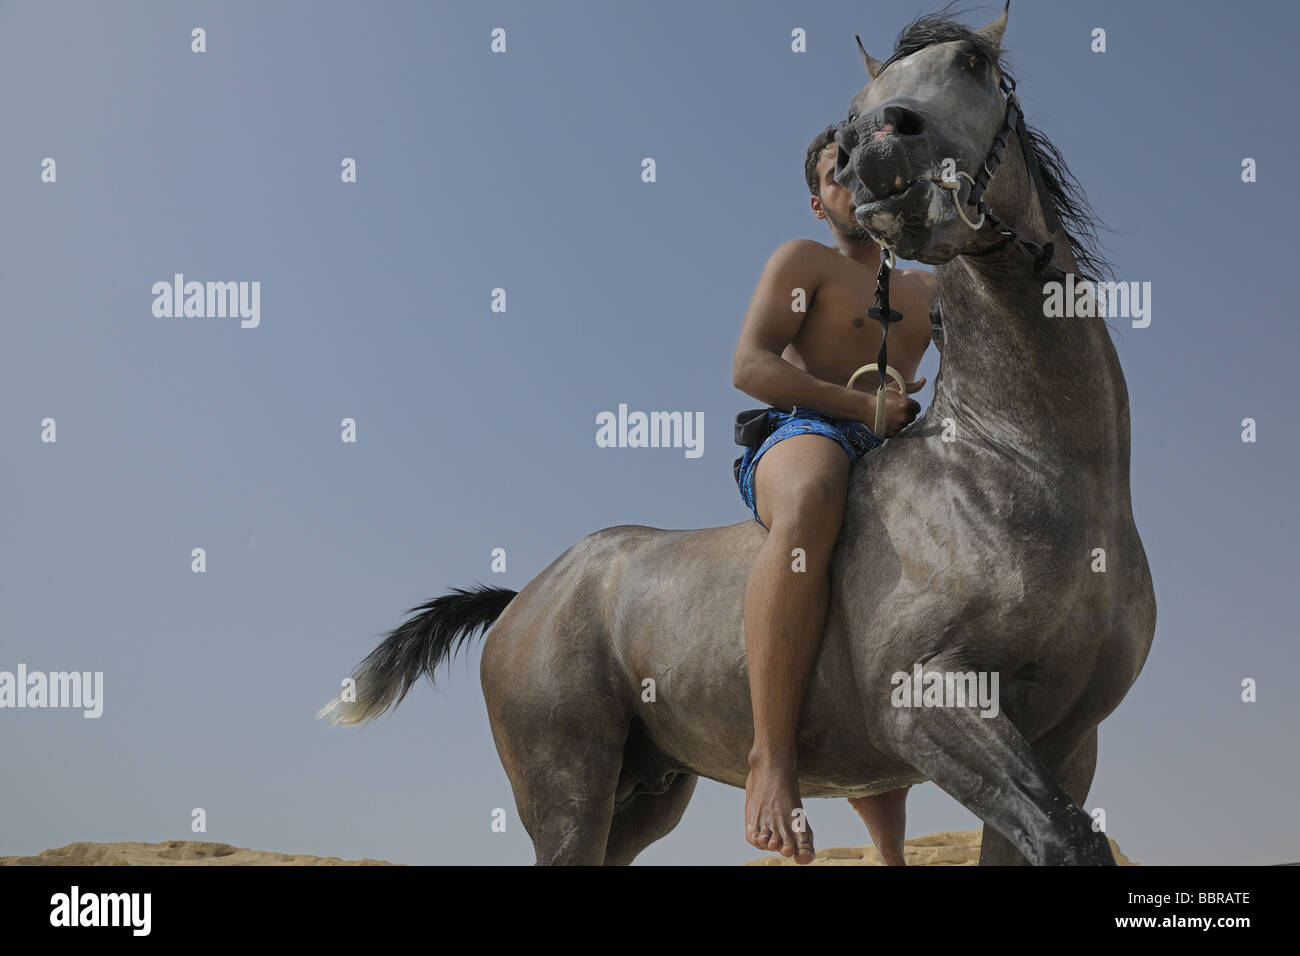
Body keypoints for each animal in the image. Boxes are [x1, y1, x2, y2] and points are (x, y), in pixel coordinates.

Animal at [319, 1, 1154, 868]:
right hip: (568, 793)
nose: (877, 150)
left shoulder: (1069, 742)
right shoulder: (929, 703)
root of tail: (527, 600)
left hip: (645, 794)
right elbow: (1069, 837)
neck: (1018, 463)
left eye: (973, 65)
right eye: (856, 108)